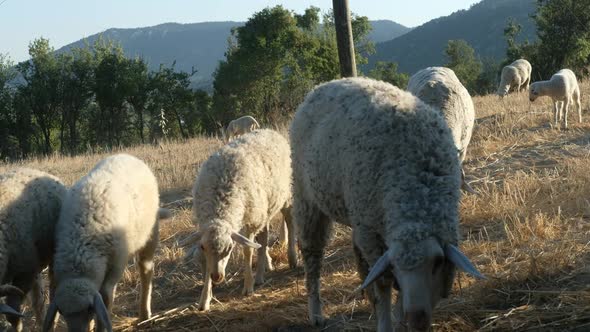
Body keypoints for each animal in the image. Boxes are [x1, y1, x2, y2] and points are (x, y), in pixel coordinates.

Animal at [41, 154, 171, 332]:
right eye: (61, 311)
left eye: (90, 308)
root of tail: (127, 155)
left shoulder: (116, 266)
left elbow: (106, 298)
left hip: (150, 234)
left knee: (146, 270)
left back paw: (145, 314)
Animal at [192, 129, 298, 312]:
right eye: (203, 247)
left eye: (229, 248)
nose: (217, 276)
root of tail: (270, 131)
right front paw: (205, 298)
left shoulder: (251, 220)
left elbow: (248, 251)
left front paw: (248, 285)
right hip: (264, 207)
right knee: (264, 236)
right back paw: (263, 269)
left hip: (284, 195)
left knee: (289, 220)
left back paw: (291, 258)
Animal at [292, 76, 486, 330]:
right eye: (394, 266)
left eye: (438, 262)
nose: (417, 319)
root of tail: (325, 85)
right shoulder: (373, 237)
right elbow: (383, 285)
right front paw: (386, 321)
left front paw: (400, 318)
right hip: (307, 199)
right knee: (312, 254)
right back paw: (316, 311)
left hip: (356, 213)